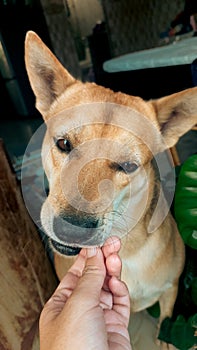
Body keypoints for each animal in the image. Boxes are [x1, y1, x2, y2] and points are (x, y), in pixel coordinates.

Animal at [24, 31, 197, 348]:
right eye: (63, 143)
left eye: (128, 166)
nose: (71, 229)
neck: (127, 250)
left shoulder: (171, 290)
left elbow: (166, 321)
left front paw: (166, 340)